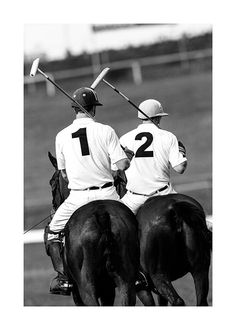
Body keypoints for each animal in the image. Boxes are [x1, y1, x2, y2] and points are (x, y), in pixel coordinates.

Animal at [48, 153, 140, 306]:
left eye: (52, 183)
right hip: (126, 282)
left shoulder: (77, 292)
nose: (53, 210)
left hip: (86, 287)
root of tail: (102, 215)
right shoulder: (108, 288)